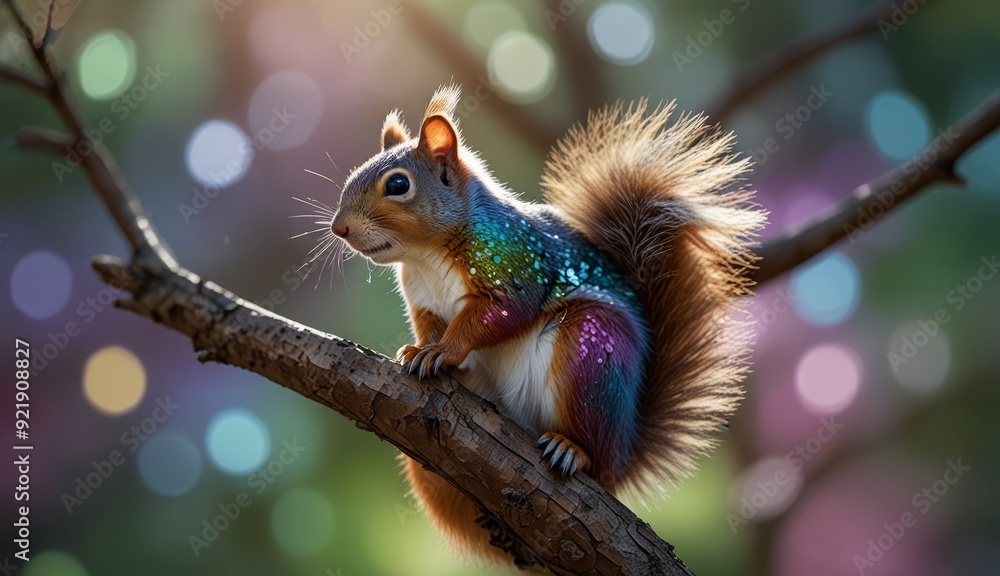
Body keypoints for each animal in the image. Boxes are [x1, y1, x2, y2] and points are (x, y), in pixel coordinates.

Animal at [329, 85, 766, 567]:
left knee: (594, 453)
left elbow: (496, 317)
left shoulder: (515, 267)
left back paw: (572, 449)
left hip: (591, 352)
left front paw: (443, 351)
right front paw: (417, 350)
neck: (425, 254)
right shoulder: (424, 303)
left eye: (398, 185)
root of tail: (624, 453)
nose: (338, 227)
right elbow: (430, 327)